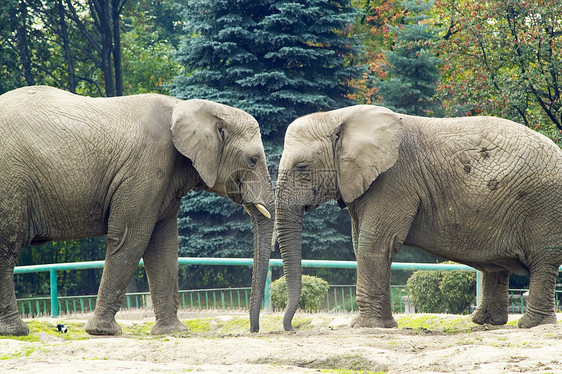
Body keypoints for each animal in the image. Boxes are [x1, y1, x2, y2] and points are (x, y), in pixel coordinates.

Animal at [0, 85, 272, 336]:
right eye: (253, 160)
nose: (253, 330)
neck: (188, 106)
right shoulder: (146, 166)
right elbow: (132, 237)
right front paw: (103, 331)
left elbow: (163, 244)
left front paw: (171, 331)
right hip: (11, 179)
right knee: (7, 245)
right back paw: (16, 331)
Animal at [274, 104, 560, 330]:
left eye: (302, 168)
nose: (291, 328)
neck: (339, 116)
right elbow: (361, 244)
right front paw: (384, 326)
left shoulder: (393, 179)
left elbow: (374, 242)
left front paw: (364, 326)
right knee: (497, 265)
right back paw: (485, 322)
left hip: (544, 206)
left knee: (542, 262)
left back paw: (530, 324)